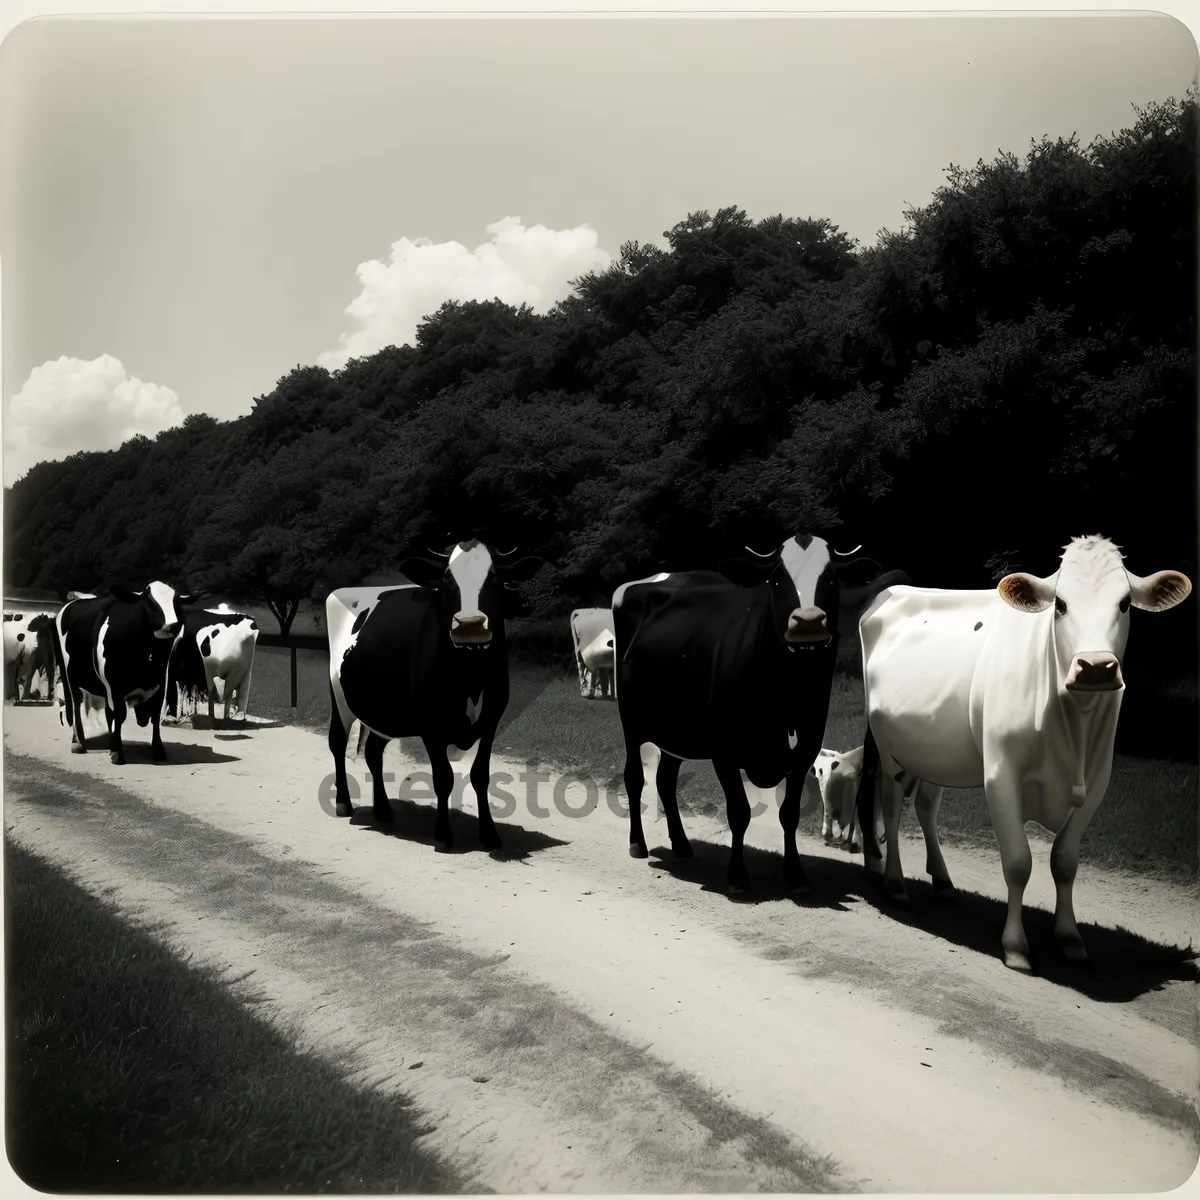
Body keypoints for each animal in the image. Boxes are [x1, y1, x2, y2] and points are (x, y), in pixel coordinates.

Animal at [53, 583, 192, 768]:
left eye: (176, 602)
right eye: (150, 603)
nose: (173, 624)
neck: (146, 655)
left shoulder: (160, 683)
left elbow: (155, 716)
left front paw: (158, 750)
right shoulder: (114, 686)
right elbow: (119, 716)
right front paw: (117, 752)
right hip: (69, 676)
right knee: (76, 705)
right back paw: (78, 742)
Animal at [324, 540, 540, 849]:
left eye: (494, 579)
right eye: (448, 580)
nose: (470, 624)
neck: (470, 676)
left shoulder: (491, 719)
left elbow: (480, 776)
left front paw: (489, 834)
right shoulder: (431, 726)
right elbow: (443, 778)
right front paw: (444, 834)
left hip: (384, 710)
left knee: (373, 752)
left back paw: (383, 810)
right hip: (340, 696)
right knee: (338, 742)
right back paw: (344, 803)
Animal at [614, 540, 897, 897]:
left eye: (832, 579)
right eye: (777, 579)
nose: (808, 620)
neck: (787, 691)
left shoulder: (805, 751)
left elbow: (789, 814)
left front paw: (795, 872)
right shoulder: (724, 752)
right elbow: (739, 813)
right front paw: (737, 875)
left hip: (676, 731)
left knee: (665, 780)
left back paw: (680, 843)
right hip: (632, 723)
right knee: (635, 778)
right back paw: (637, 843)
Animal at [854, 540, 1190, 969]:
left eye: (1125, 603)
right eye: (1060, 604)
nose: (1096, 668)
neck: (1074, 730)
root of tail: (893, 591)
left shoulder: (1097, 782)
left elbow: (1065, 862)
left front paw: (1069, 937)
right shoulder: (1002, 775)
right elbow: (1018, 862)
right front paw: (1015, 946)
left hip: (931, 746)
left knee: (926, 805)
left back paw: (942, 881)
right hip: (888, 748)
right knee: (893, 806)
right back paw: (895, 883)